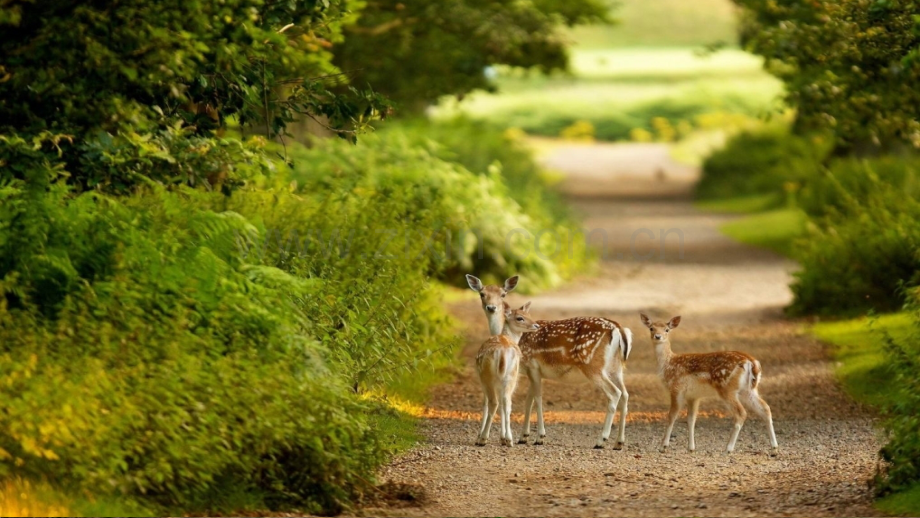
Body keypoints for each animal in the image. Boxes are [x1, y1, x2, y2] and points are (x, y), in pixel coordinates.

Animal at [475, 302, 541, 446]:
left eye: (529, 314)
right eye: (520, 317)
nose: (536, 325)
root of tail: (502, 353)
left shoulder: (482, 380)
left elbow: (485, 404)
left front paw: (479, 437)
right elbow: (503, 405)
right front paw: (503, 438)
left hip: (488, 376)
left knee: (494, 402)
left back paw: (483, 438)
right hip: (511, 376)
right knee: (507, 403)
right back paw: (509, 439)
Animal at [639, 313, 778, 453]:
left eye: (667, 329)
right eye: (651, 328)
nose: (658, 336)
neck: (668, 364)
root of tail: (751, 362)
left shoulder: (676, 388)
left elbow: (671, 416)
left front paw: (663, 445)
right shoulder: (693, 396)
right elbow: (691, 419)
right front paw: (691, 447)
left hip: (726, 388)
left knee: (741, 413)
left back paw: (728, 448)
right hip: (749, 390)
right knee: (765, 408)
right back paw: (774, 445)